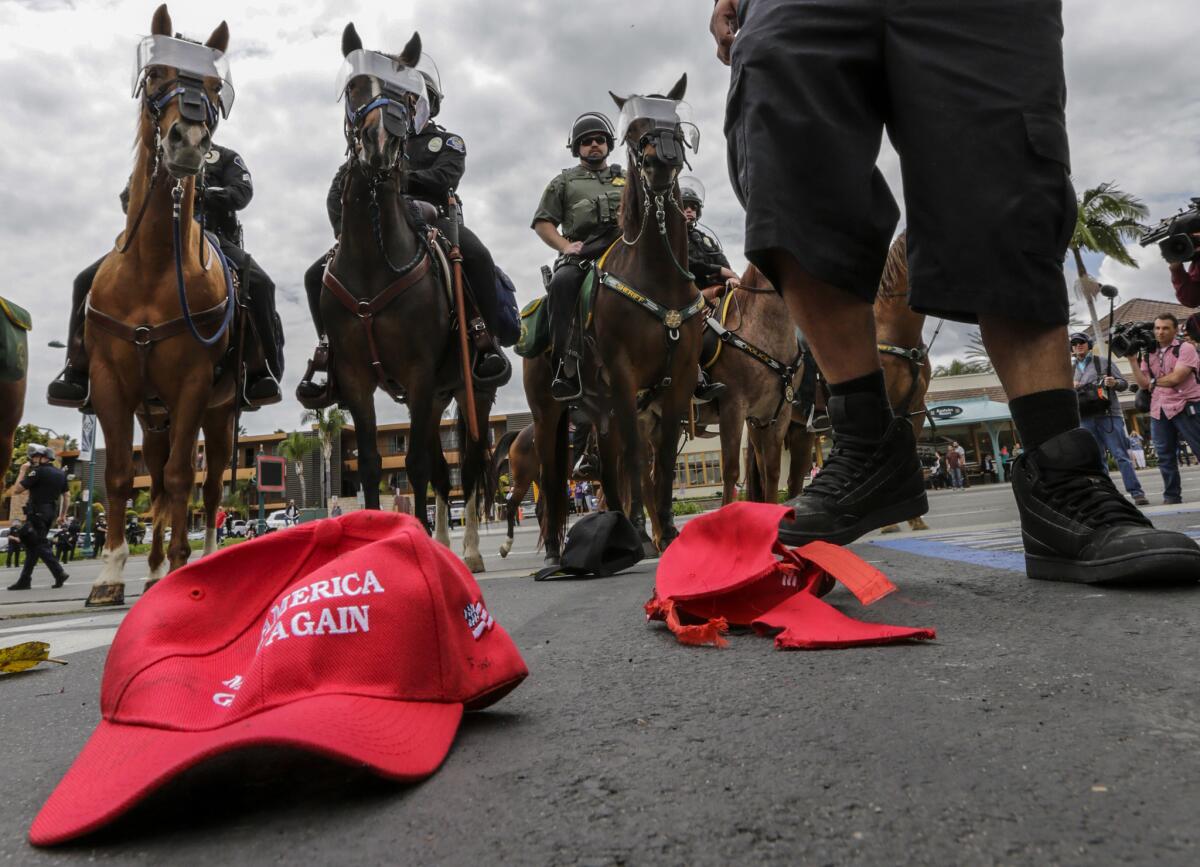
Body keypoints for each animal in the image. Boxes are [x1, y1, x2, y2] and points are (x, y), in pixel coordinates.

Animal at [85, 6, 237, 605]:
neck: (152, 265)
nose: (188, 139)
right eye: (155, 76)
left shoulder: (193, 383)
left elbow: (179, 480)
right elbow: (121, 479)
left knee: (209, 485)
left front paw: (180, 568)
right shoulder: (109, 381)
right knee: (154, 479)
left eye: (215, 87)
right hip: (152, 418)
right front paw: (108, 575)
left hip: (218, 415)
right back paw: (147, 569)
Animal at [321, 23, 494, 571]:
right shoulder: (356, 379)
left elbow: (414, 464)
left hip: (471, 391)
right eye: (356, 86)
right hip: (438, 398)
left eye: (403, 93)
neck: (374, 263)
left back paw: (471, 551)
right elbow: (374, 464)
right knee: (443, 469)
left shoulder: (418, 374)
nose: (380, 142)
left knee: (470, 466)